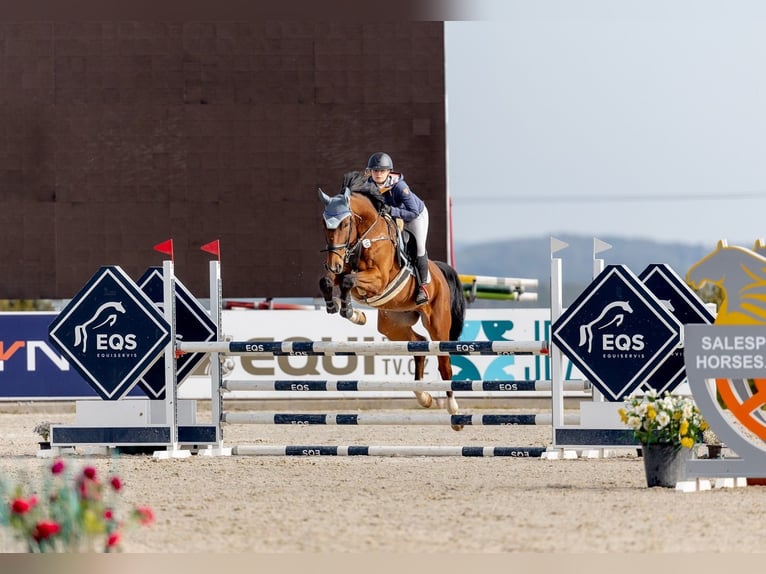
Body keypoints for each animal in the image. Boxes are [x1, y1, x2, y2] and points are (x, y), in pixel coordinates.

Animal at [318, 186, 468, 432]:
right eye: (324, 224)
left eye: (345, 224)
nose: (334, 264)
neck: (366, 236)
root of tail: (440, 272)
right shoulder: (343, 272)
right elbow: (328, 281)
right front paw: (344, 309)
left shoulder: (378, 279)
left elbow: (349, 280)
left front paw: (351, 311)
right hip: (393, 323)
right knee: (418, 343)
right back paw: (423, 397)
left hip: (437, 324)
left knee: (444, 362)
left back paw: (454, 411)